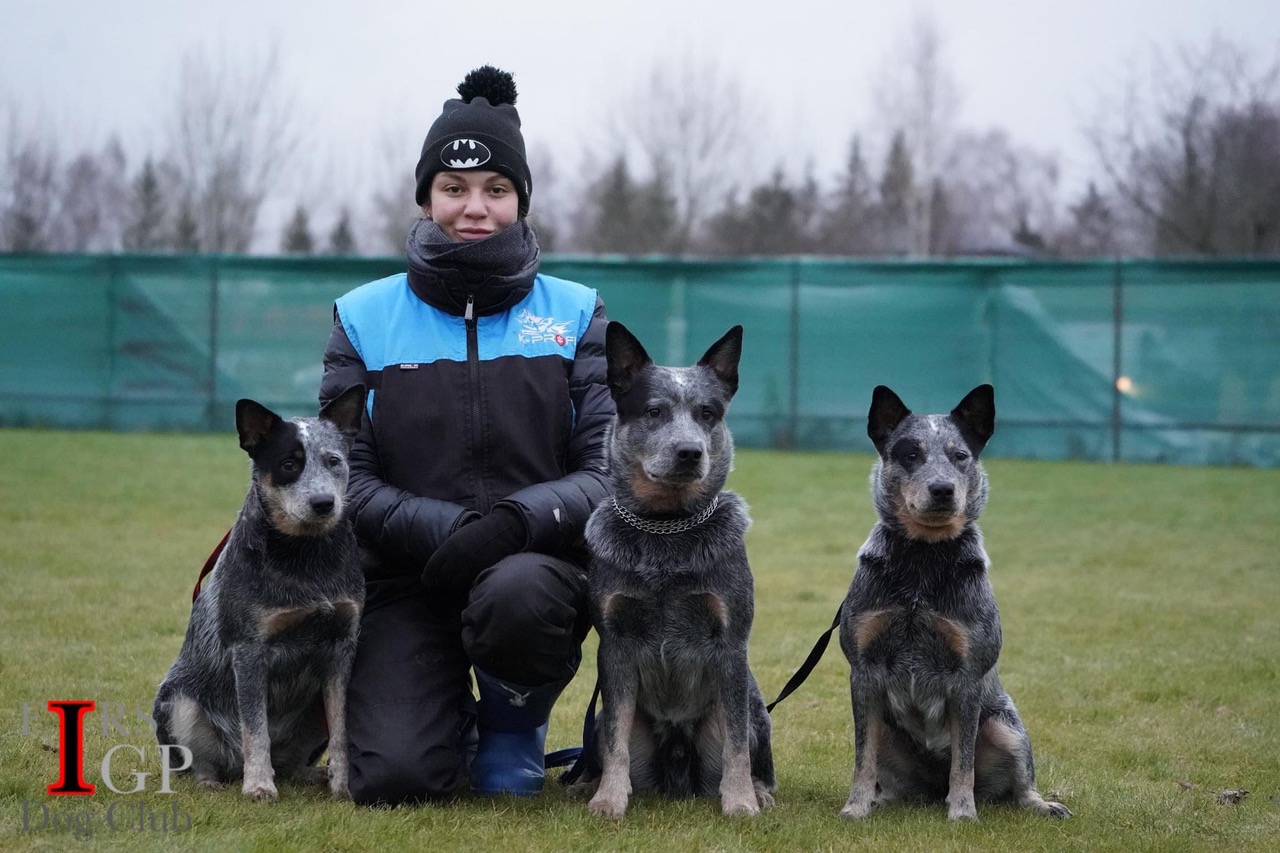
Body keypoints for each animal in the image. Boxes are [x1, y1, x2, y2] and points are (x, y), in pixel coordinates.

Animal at [153, 384, 371, 799]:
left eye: (333, 460)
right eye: (289, 464)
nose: (324, 503)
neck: (305, 559)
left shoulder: (341, 647)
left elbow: (343, 727)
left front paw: (345, 786)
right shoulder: (250, 649)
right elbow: (255, 728)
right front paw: (258, 785)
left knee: (293, 762)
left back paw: (310, 774)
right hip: (177, 701)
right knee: (204, 760)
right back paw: (214, 780)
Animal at [576, 322, 773, 814]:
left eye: (707, 412)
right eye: (653, 411)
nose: (689, 452)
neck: (666, 530)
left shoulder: (731, 644)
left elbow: (737, 745)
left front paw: (740, 802)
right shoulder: (615, 644)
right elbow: (617, 741)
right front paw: (609, 799)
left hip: (755, 708)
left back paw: (760, 790)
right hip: (606, 721)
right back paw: (587, 783)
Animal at [839, 384, 1070, 819]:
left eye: (960, 455)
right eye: (911, 454)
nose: (942, 489)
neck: (922, 561)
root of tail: (931, 788)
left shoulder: (967, 678)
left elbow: (963, 762)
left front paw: (962, 813)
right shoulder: (864, 672)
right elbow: (863, 759)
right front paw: (855, 807)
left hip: (1005, 726)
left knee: (1019, 786)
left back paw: (1043, 805)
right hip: (890, 733)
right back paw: (881, 799)